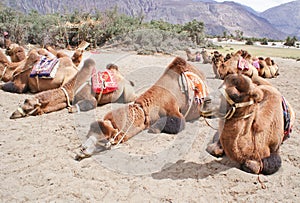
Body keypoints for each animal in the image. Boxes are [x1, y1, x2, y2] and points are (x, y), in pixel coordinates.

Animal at [9, 58, 138, 119]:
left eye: (28, 108)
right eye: (24, 101)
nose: (13, 114)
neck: (71, 89)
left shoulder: (90, 98)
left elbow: (91, 103)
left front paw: (72, 108)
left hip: (127, 91)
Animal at [74, 56, 209, 160]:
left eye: (103, 140)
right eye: (88, 134)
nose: (82, 149)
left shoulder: (174, 109)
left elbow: (177, 122)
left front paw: (154, 128)